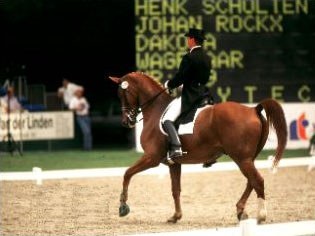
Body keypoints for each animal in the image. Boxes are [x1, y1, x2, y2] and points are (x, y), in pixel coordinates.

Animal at [109, 71, 288, 223]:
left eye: (123, 94)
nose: (127, 121)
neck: (156, 110)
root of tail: (253, 109)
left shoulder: (152, 158)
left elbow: (127, 173)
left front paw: (123, 207)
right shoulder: (174, 163)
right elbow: (175, 190)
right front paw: (175, 216)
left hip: (242, 158)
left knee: (257, 180)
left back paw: (261, 215)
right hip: (249, 158)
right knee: (251, 181)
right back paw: (240, 211)